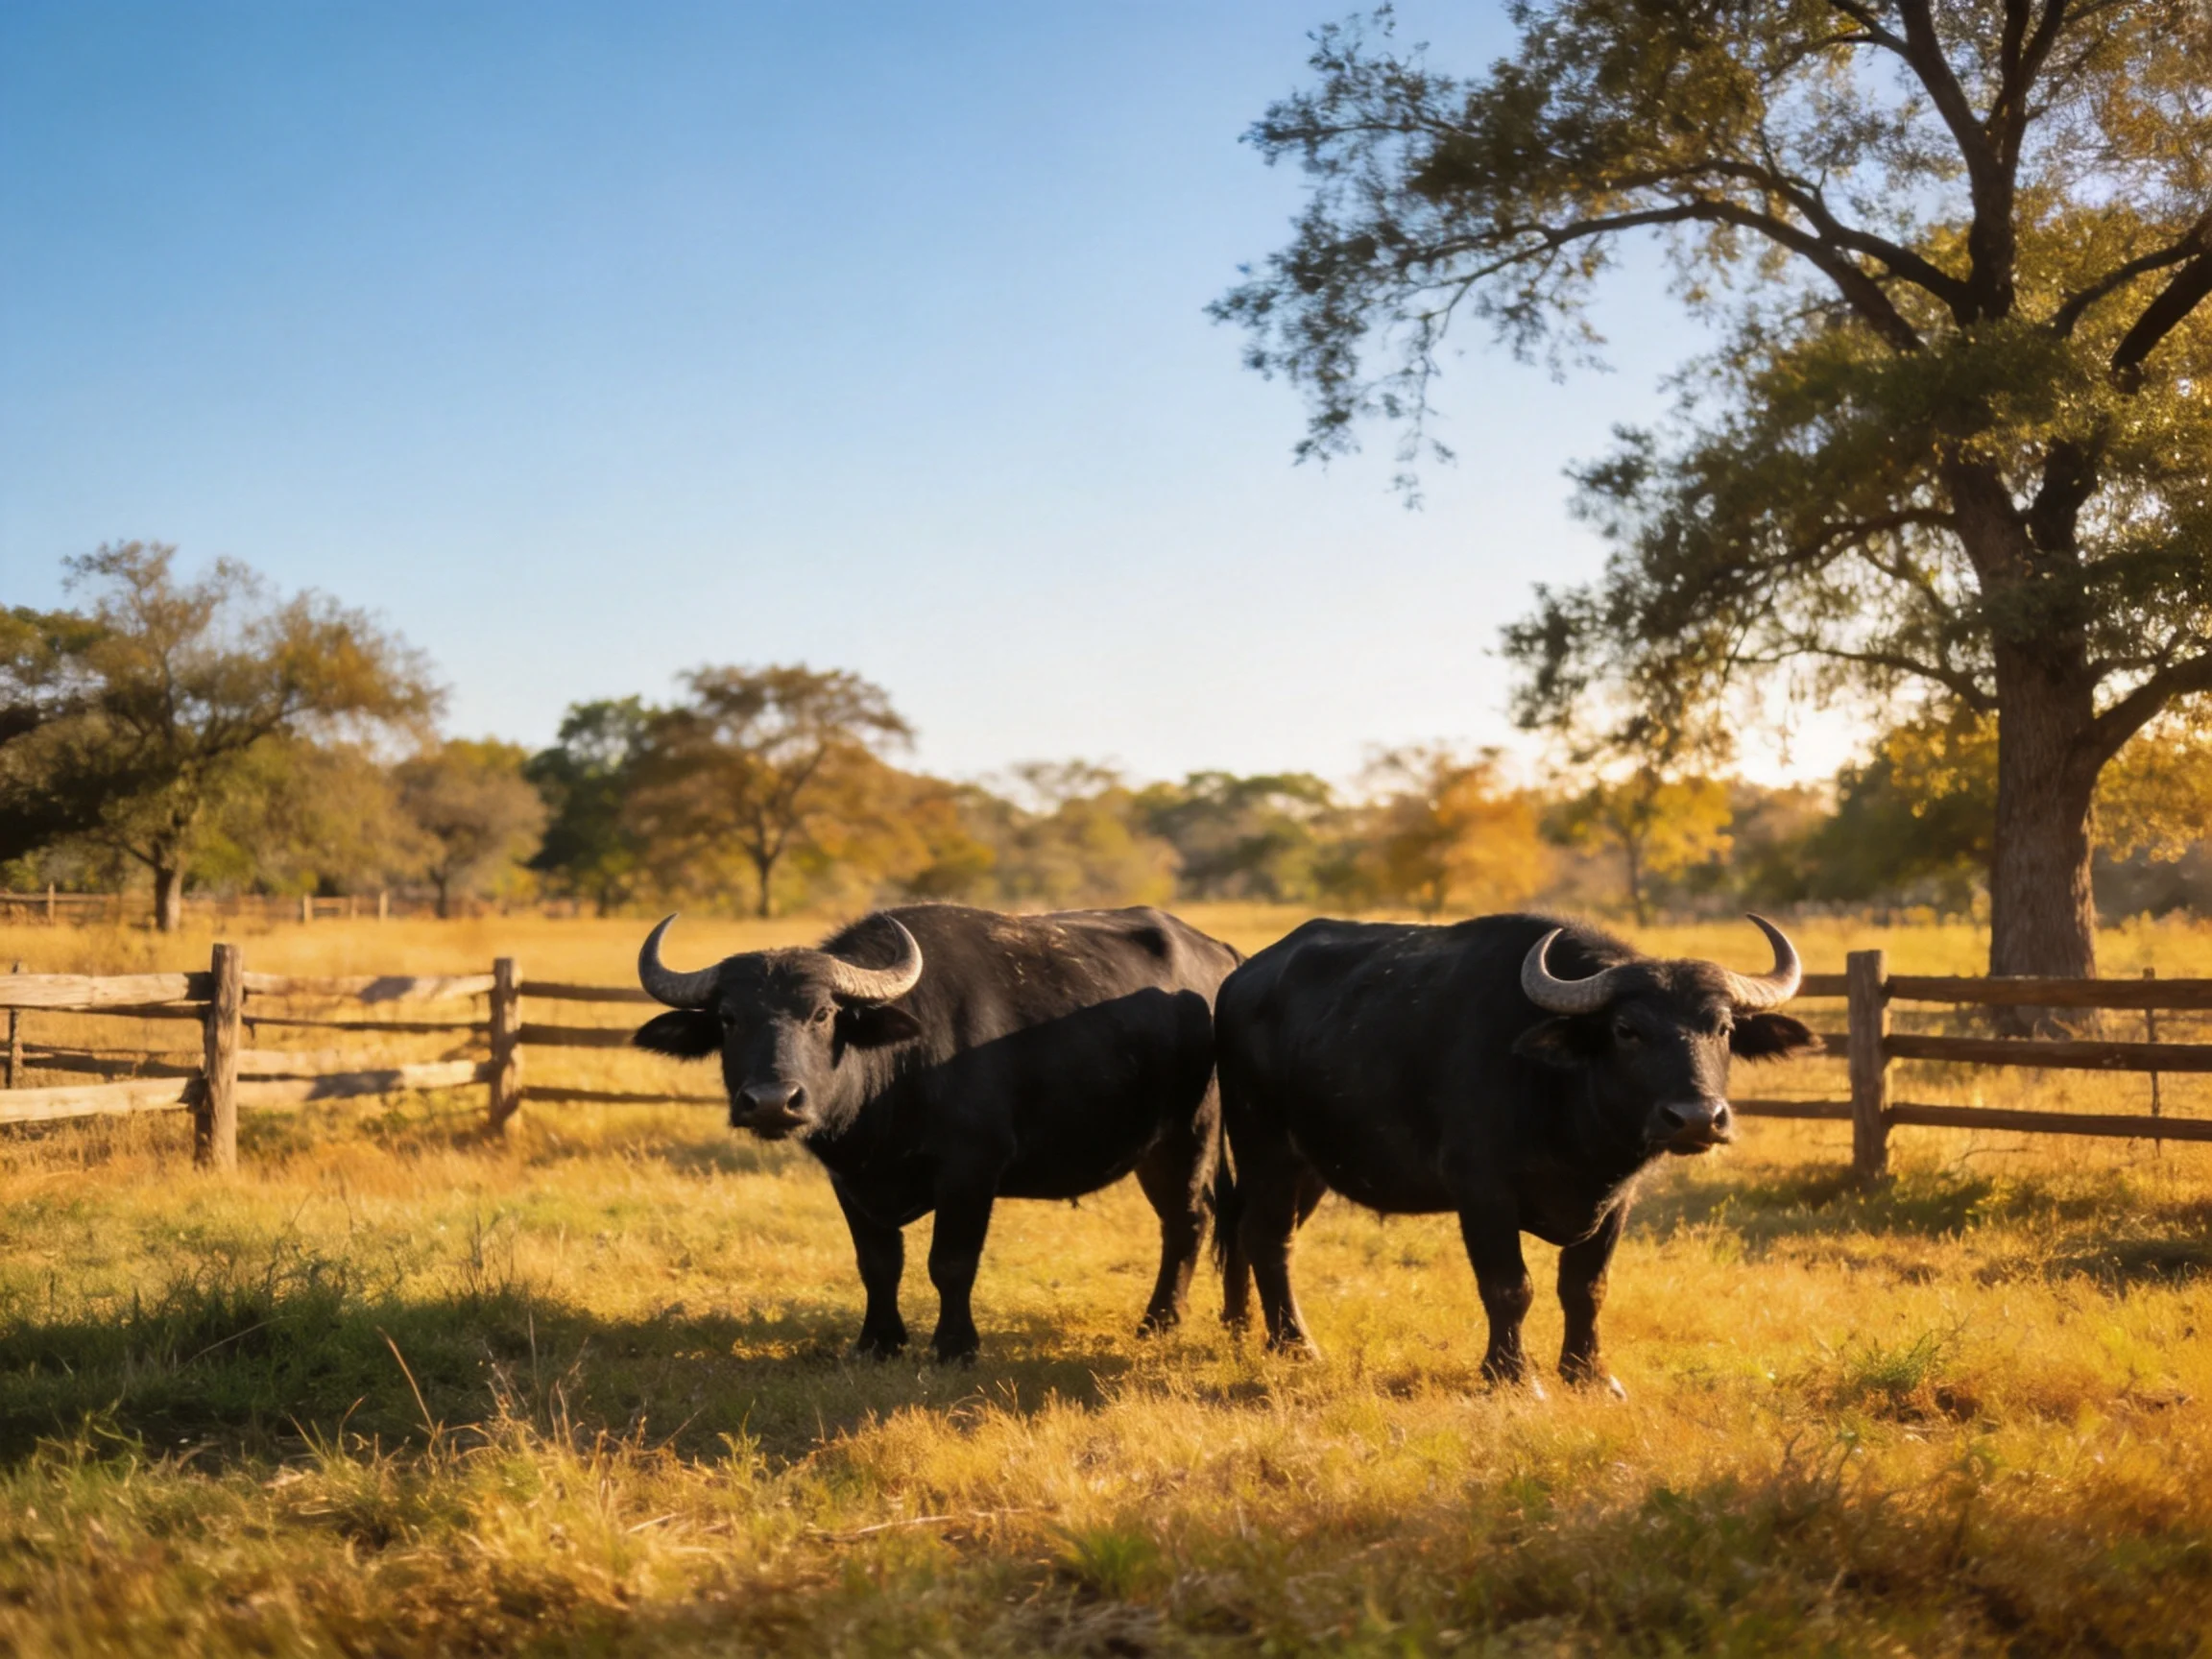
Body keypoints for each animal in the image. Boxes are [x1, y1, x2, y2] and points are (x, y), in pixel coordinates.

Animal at [633, 903, 1240, 1361]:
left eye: (823, 1013)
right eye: (729, 1017)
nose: (771, 1102)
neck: (894, 1079)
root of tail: (1221, 958)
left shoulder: (971, 1171)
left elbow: (950, 1262)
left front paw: (954, 1346)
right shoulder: (849, 1179)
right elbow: (878, 1263)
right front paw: (878, 1342)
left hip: (1193, 1132)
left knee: (1189, 1219)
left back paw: (1161, 1320)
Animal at [1214, 912, 1814, 1393]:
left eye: (1724, 1028)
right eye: (1627, 1029)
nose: (1696, 1118)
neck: (1567, 1108)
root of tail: (1241, 978)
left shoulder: (1617, 1201)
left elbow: (1586, 1287)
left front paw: (1588, 1374)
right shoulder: (1482, 1192)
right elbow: (1509, 1286)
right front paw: (1511, 1374)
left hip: (1311, 1168)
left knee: (1262, 1236)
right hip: (1264, 1147)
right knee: (1268, 1238)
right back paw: (1295, 1345)